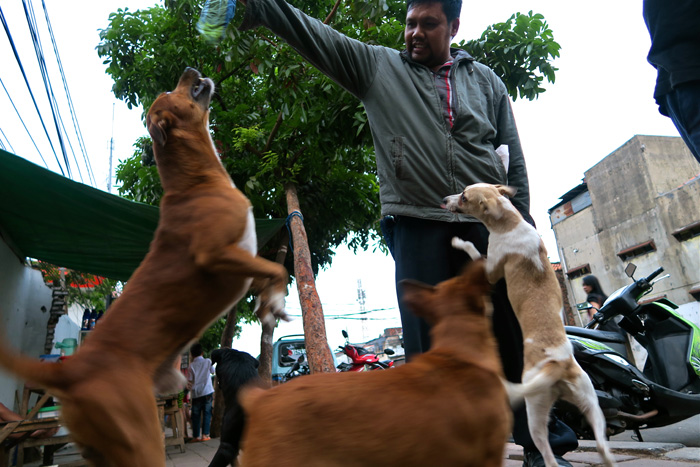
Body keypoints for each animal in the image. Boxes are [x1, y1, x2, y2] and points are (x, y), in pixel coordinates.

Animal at [0, 67, 288, 466]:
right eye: (170, 91)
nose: (189, 70)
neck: (195, 182)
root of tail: (70, 371)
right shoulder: (216, 254)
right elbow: (278, 270)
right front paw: (274, 300)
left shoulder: (245, 257)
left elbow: (274, 273)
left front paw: (270, 304)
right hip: (140, 437)